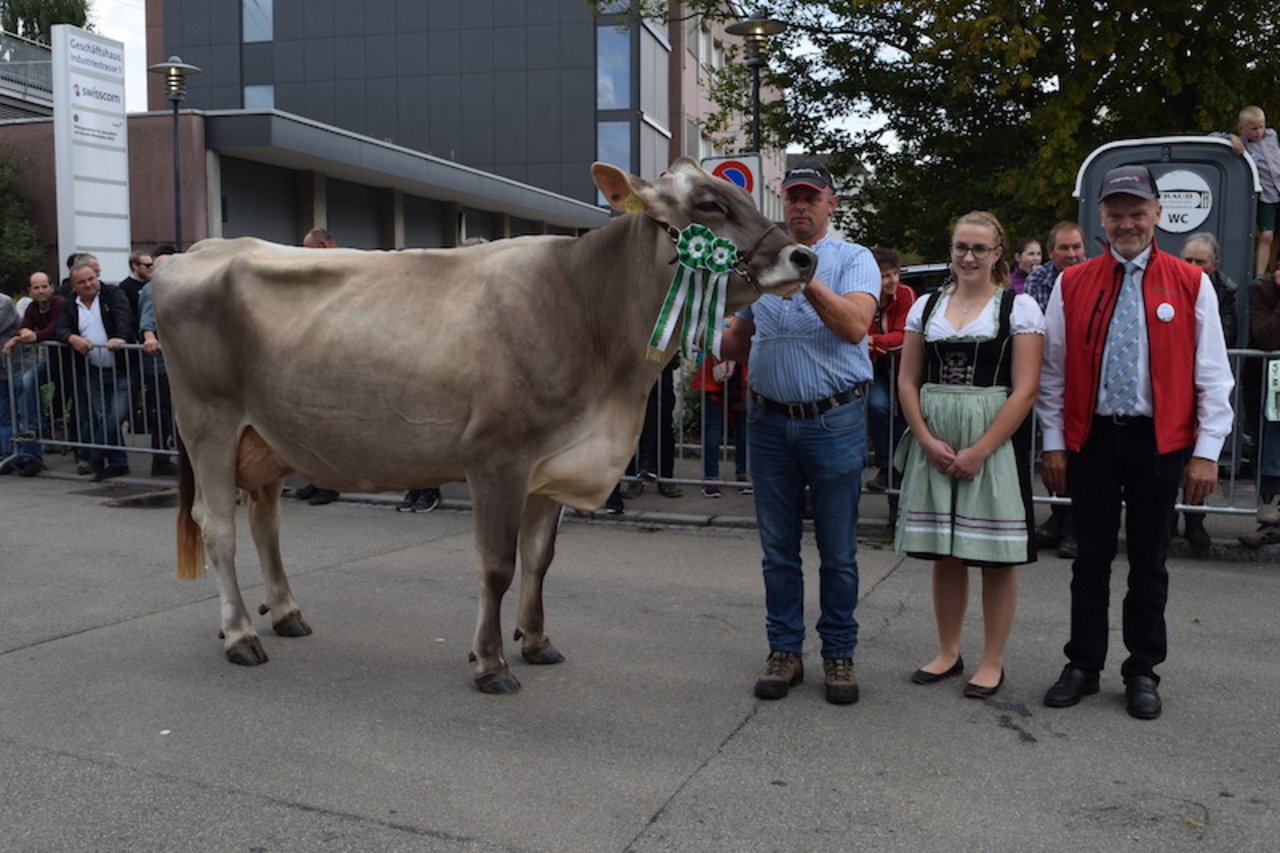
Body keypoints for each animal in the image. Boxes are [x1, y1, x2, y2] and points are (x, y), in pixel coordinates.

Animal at [154, 159, 814, 691]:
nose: (802, 256)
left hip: (266, 436)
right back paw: (242, 635)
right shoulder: (497, 456)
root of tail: (191, 251)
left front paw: (538, 641)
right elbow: (497, 563)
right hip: (209, 422)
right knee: (218, 527)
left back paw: (287, 613)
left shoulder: (554, 459)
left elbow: (540, 558)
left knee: (265, 519)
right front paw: (491, 663)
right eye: (707, 204)